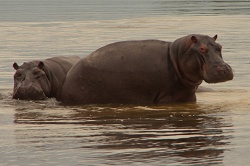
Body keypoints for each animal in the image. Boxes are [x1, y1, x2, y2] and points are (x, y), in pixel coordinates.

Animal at [57, 34, 233, 104]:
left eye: (220, 46)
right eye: (202, 49)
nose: (224, 69)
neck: (177, 56)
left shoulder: (188, 96)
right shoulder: (169, 97)